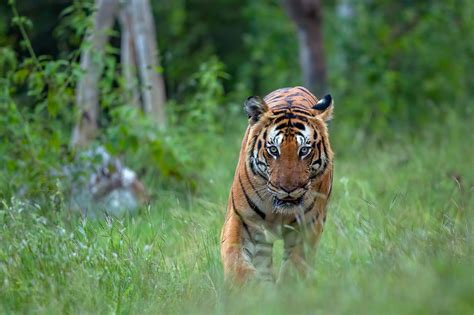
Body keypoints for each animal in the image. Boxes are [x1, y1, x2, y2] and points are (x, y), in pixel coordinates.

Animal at [219, 86, 334, 284]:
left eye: (304, 150)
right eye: (273, 149)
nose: (288, 189)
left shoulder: (307, 226)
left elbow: (294, 267)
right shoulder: (241, 219)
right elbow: (236, 260)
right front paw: (253, 288)